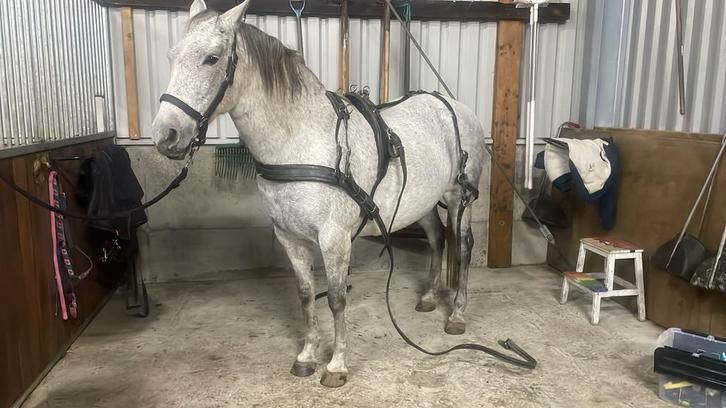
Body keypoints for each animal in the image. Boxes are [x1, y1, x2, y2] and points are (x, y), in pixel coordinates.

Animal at [151, 0, 485, 388]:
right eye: (172, 56)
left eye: (212, 58)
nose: (166, 135)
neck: (300, 142)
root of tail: (453, 105)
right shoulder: (289, 236)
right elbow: (306, 295)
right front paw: (307, 357)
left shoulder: (334, 238)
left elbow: (337, 300)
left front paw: (336, 365)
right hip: (422, 201)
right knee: (436, 238)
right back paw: (430, 297)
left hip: (460, 197)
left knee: (463, 246)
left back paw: (457, 314)